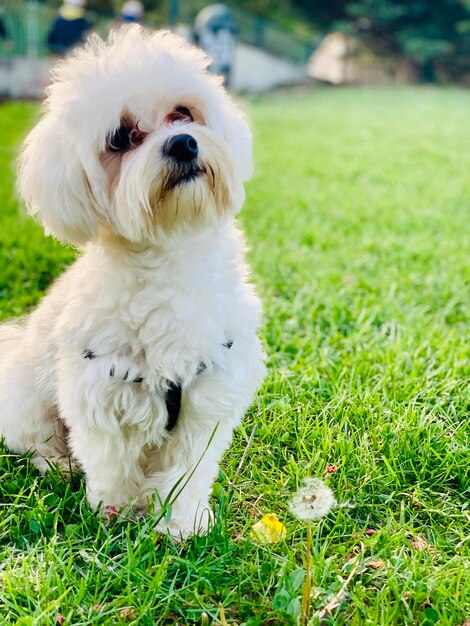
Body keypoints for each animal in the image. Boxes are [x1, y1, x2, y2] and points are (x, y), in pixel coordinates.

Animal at [0, 25, 264, 536]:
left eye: (184, 113)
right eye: (121, 137)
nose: (183, 143)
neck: (170, 258)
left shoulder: (207, 398)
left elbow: (187, 470)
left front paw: (182, 524)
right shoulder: (100, 394)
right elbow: (111, 465)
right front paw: (116, 514)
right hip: (26, 397)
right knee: (35, 442)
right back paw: (59, 465)